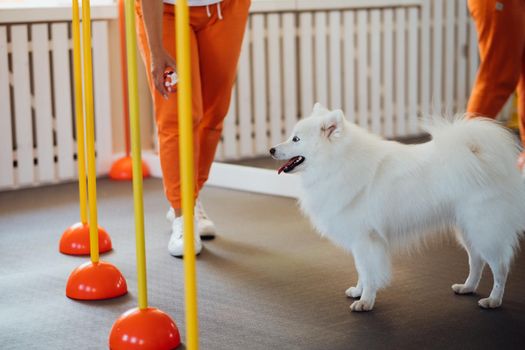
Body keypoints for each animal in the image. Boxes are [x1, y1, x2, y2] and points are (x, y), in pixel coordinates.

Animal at [270, 103, 524, 312]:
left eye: (296, 139)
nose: (271, 150)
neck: (338, 163)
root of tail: (482, 155)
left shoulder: (366, 239)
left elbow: (369, 272)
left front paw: (366, 301)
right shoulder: (360, 242)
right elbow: (362, 270)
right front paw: (358, 292)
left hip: (484, 229)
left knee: (500, 268)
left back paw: (493, 300)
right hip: (467, 230)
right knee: (477, 261)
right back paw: (467, 287)